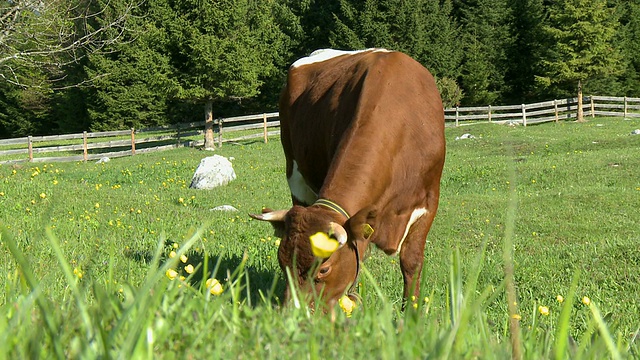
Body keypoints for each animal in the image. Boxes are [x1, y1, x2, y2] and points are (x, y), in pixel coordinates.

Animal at [250, 48, 444, 310]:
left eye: (324, 269)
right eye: (283, 264)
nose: (293, 315)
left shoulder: (429, 201)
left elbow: (411, 262)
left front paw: (411, 314)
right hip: (295, 174)